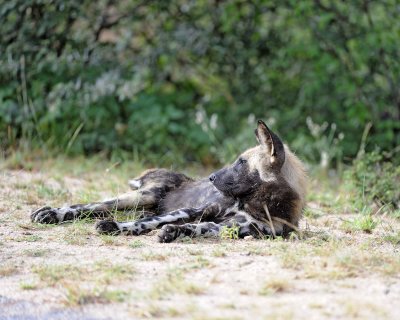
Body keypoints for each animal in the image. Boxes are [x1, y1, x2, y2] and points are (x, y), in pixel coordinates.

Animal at [31, 120, 308, 242]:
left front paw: (174, 232)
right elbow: (147, 223)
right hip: (139, 198)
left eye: (241, 162)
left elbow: (198, 228)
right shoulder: (197, 209)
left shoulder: (237, 228)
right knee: (88, 207)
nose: (212, 177)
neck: (260, 203)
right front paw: (117, 228)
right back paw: (49, 213)